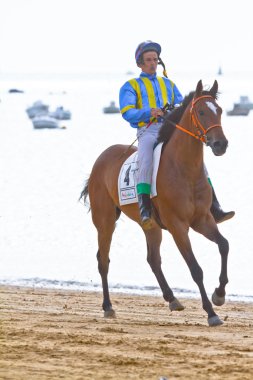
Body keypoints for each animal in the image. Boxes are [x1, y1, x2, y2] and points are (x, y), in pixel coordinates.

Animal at [80, 79, 229, 326]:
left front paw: (219, 294)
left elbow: (224, 245)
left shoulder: (202, 219)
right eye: (201, 112)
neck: (184, 170)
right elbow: (195, 269)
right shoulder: (178, 226)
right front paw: (211, 312)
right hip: (105, 221)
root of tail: (102, 157)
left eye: (219, 111)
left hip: (150, 225)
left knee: (153, 259)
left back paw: (172, 298)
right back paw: (108, 306)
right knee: (103, 260)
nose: (220, 144)